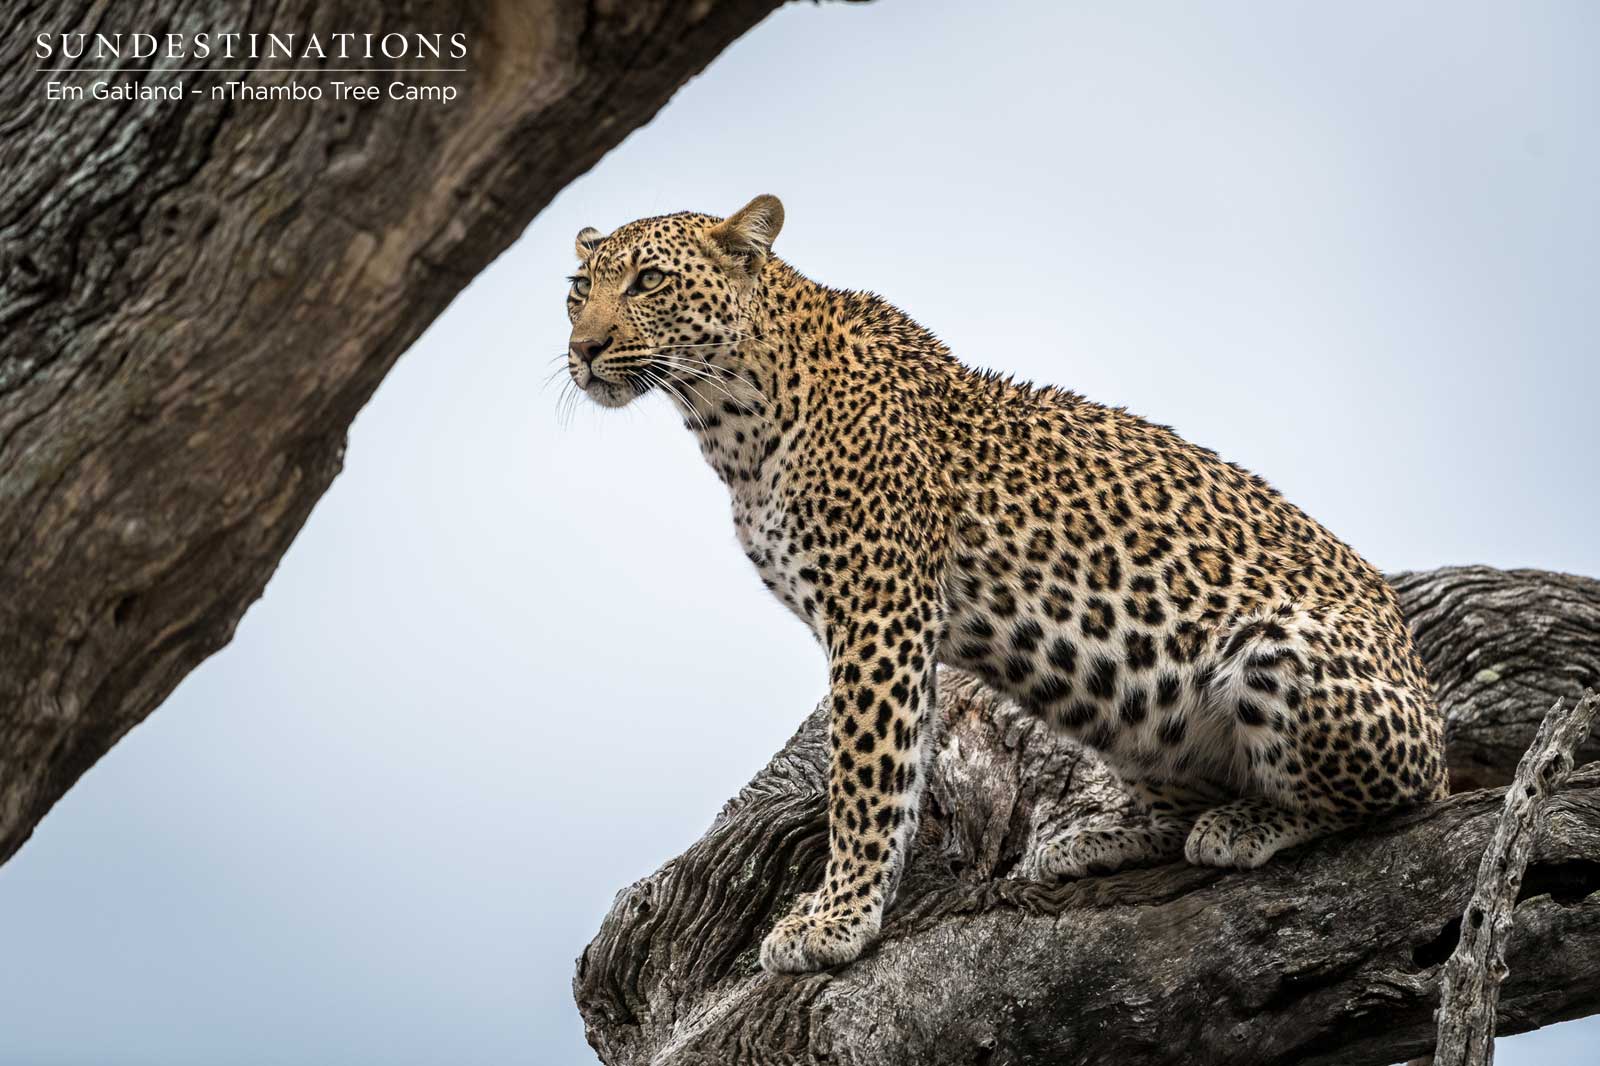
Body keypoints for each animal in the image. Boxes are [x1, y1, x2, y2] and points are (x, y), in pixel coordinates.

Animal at [559, 195, 1448, 975]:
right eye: (577, 289)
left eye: (648, 281)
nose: (586, 349)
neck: (729, 419)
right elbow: (883, 768)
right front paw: (839, 907)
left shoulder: (879, 612)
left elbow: (867, 778)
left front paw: (838, 917)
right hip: (1129, 707)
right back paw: (1100, 839)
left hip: (1281, 652)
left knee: (1388, 799)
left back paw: (1251, 822)